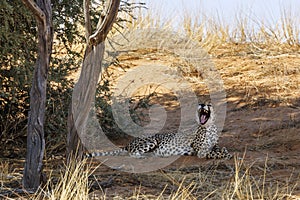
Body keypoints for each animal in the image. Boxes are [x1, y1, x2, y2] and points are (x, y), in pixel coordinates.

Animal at [86, 103, 232, 159]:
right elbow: (214, 153)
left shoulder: (213, 145)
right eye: (201, 104)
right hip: (151, 140)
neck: (209, 126)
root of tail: (130, 142)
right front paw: (226, 155)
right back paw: (144, 156)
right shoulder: (200, 150)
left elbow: (219, 149)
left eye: (209, 104)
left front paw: (225, 152)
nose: (201, 104)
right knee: (132, 153)